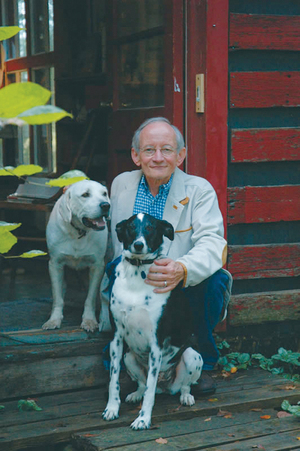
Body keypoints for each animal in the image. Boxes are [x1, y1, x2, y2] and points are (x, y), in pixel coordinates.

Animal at [42, 180, 110, 332]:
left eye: (104, 193)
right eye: (85, 195)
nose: (106, 205)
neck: (78, 231)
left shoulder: (97, 266)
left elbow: (90, 298)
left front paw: (89, 320)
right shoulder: (55, 265)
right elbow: (57, 297)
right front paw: (54, 319)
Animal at [102, 214, 203, 432]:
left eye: (150, 228)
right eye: (131, 227)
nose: (138, 245)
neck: (137, 271)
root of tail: (165, 385)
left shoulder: (157, 342)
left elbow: (150, 391)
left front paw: (143, 419)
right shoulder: (116, 338)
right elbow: (114, 380)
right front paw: (112, 408)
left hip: (192, 355)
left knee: (183, 385)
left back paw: (186, 396)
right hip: (128, 356)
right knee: (142, 384)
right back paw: (135, 394)